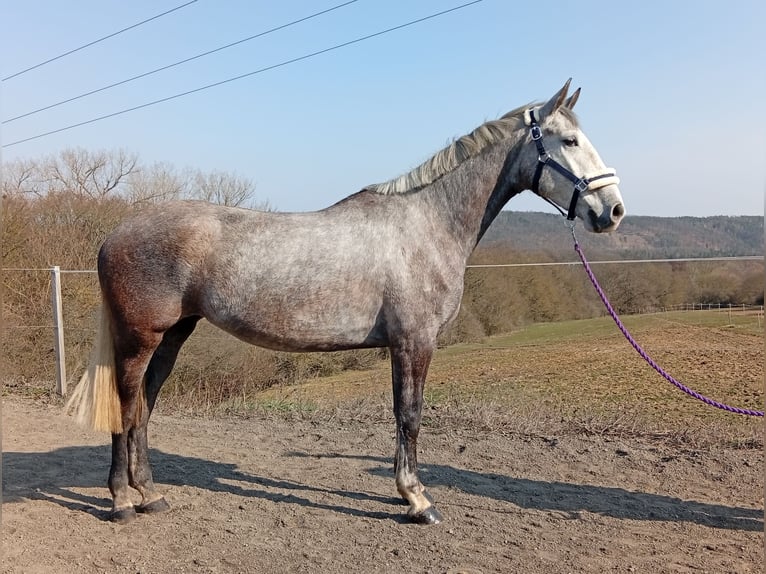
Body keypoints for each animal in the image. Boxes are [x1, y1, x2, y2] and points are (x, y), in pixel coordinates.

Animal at [67, 80, 625, 525]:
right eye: (569, 140)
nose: (613, 210)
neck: (425, 225)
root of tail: (114, 234)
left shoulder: (403, 345)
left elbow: (403, 415)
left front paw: (407, 494)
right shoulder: (414, 343)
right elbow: (410, 415)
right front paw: (417, 500)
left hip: (174, 336)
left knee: (143, 409)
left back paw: (150, 495)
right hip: (140, 338)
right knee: (125, 406)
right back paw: (121, 502)